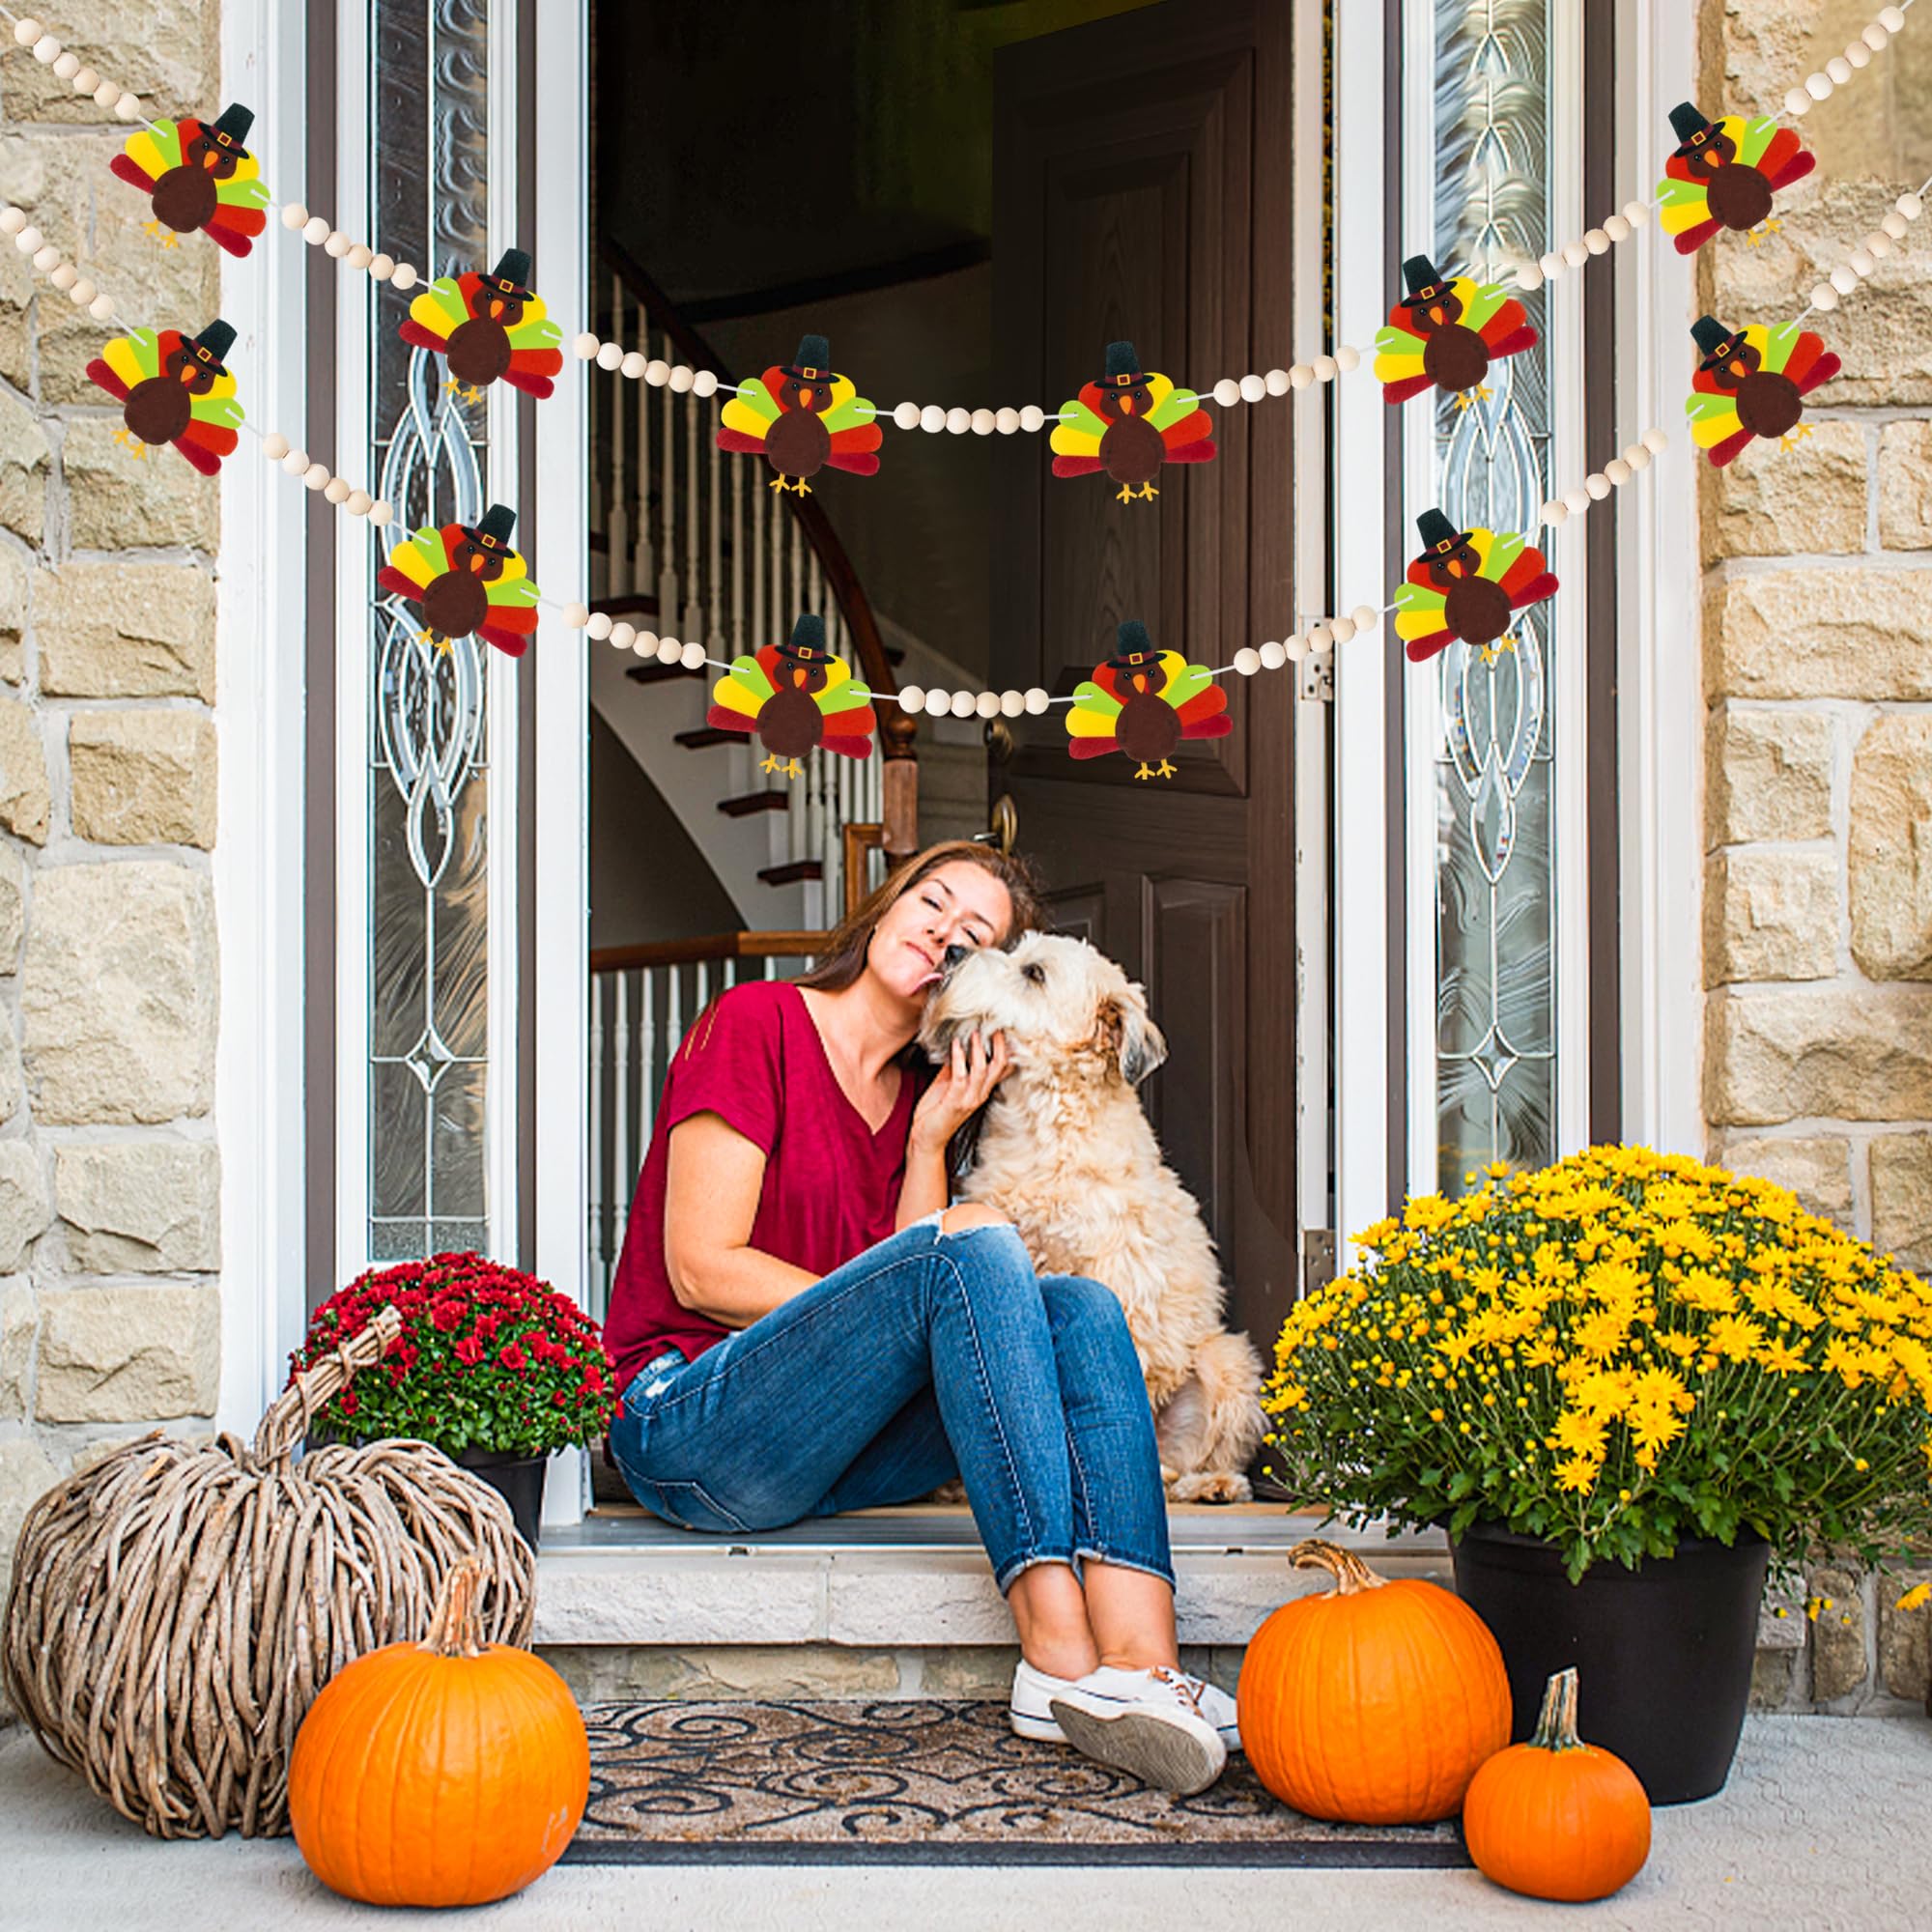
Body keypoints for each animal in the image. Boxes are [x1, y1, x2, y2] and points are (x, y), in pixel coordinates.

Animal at [920, 927, 1267, 1499]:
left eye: (1034, 973)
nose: (953, 951)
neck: (1041, 1127)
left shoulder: (1121, 1284)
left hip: (1227, 1363)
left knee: (1192, 1462)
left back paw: (1208, 1483)